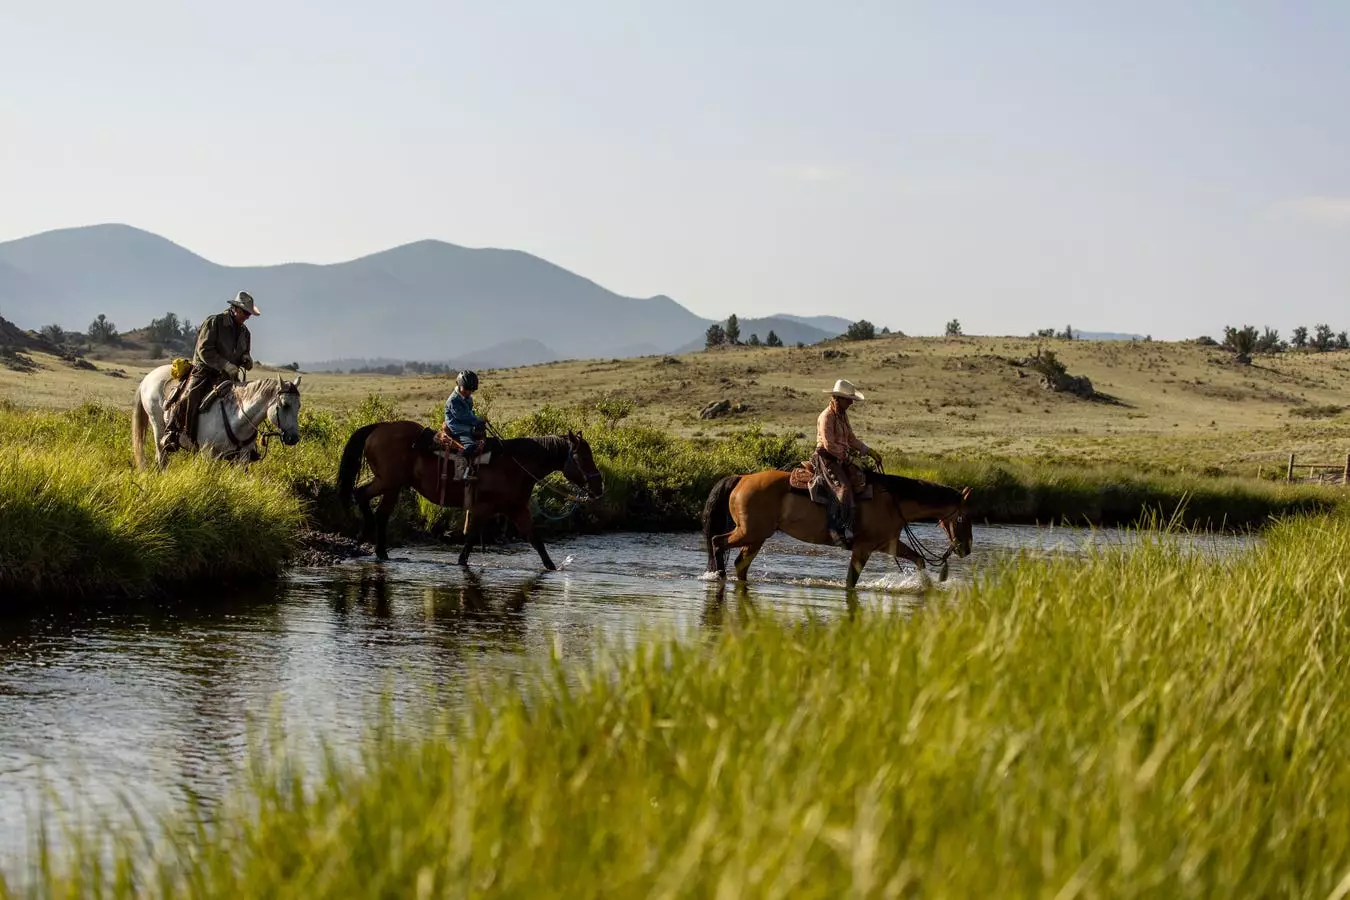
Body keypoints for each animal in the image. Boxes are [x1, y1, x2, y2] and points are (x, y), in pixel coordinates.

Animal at [130, 364, 302, 472]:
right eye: (285, 404)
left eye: (299, 406)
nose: (294, 438)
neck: (237, 419)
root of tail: (148, 377)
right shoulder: (208, 454)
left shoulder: (242, 457)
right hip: (157, 426)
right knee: (162, 457)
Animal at [334, 423, 604, 569]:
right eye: (583, 457)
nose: (599, 487)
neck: (515, 465)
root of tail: (378, 428)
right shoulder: (484, 508)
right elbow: (472, 537)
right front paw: (461, 562)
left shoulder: (517, 509)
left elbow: (536, 540)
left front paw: (552, 568)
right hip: (387, 481)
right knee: (361, 494)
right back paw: (364, 533)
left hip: (393, 486)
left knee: (381, 513)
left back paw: (381, 551)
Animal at [702, 469, 977, 588]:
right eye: (964, 517)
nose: (966, 549)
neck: (893, 501)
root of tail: (742, 478)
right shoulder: (863, 548)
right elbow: (851, 580)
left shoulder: (888, 545)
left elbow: (919, 559)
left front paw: (928, 583)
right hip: (749, 532)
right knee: (717, 542)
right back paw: (718, 576)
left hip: (756, 537)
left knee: (740, 563)